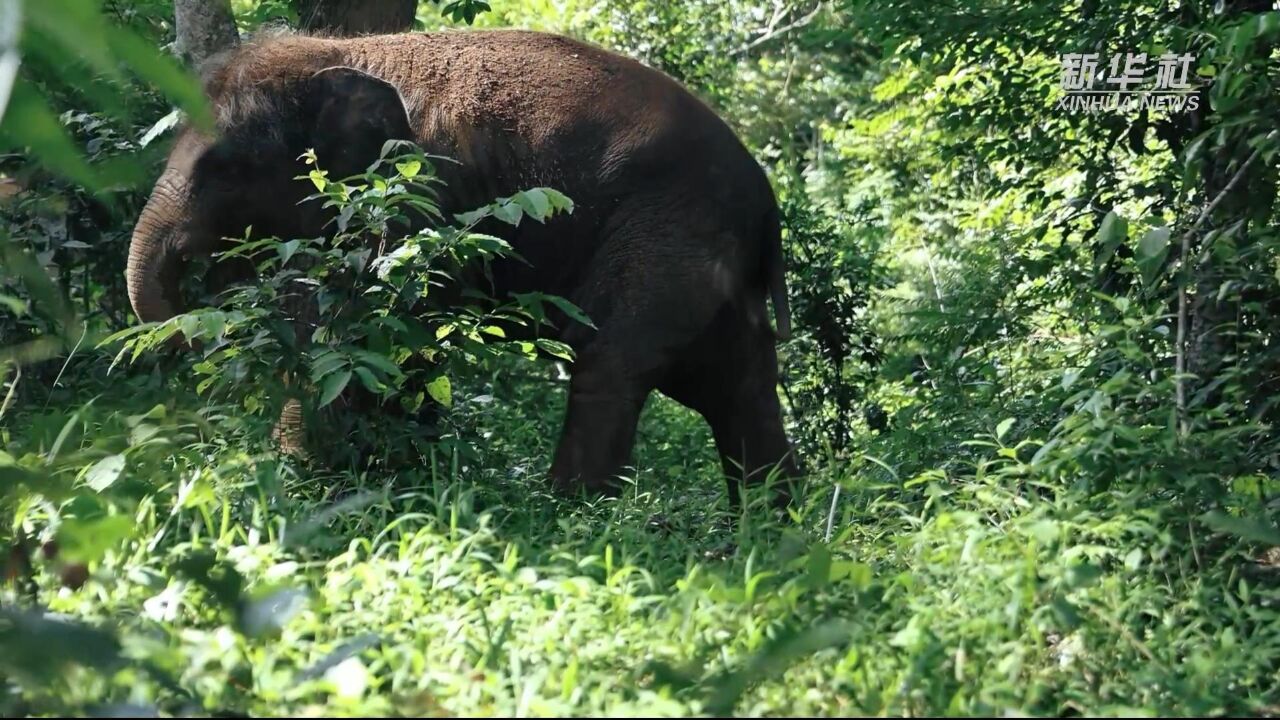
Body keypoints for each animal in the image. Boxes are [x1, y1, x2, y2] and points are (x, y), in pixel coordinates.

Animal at [124, 29, 793, 504]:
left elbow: (376, 330)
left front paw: (316, 484)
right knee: (735, 384)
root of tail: (767, 204)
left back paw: (568, 520)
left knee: (612, 363)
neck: (337, 51)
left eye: (224, 167)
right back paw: (767, 532)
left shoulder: (418, 197)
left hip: (668, 232)